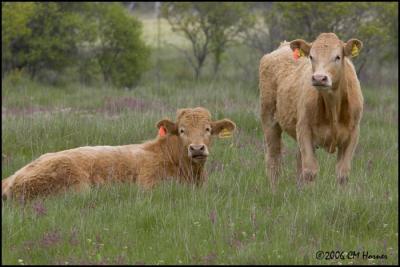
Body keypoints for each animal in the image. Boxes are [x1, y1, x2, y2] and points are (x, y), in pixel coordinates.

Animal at [1, 107, 236, 201]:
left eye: (208, 129)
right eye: (181, 130)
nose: (196, 149)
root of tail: (12, 178)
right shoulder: (149, 186)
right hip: (77, 186)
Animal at [260, 32, 362, 191]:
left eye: (337, 57)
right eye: (311, 57)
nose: (319, 78)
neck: (332, 107)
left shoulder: (353, 133)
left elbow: (342, 173)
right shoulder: (304, 129)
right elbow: (310, 171)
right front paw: (310, 194)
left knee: (297, 161)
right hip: (269, 119)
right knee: (274, 159)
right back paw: (274, 189)